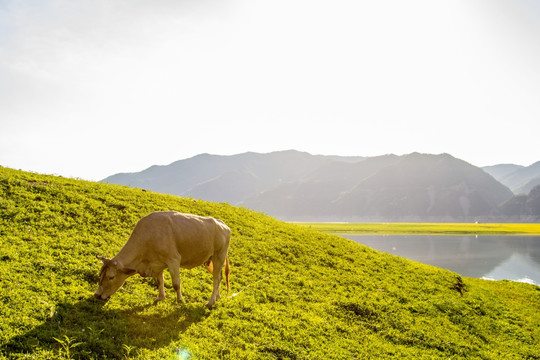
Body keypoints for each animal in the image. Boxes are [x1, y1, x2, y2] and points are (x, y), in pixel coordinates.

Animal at [95, 212, 230, 308]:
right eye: (100, 274)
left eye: (111, 277)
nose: (97, 295)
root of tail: (221, 223)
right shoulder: (157, 263)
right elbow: (160, 281)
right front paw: (160, 297)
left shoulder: (173, 259)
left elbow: (176, 284)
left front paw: (180, 300)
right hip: (210, 260)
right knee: (219, 277)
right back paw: (217, 297)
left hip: (219, 256)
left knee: (216, 279)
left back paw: (211, 302)